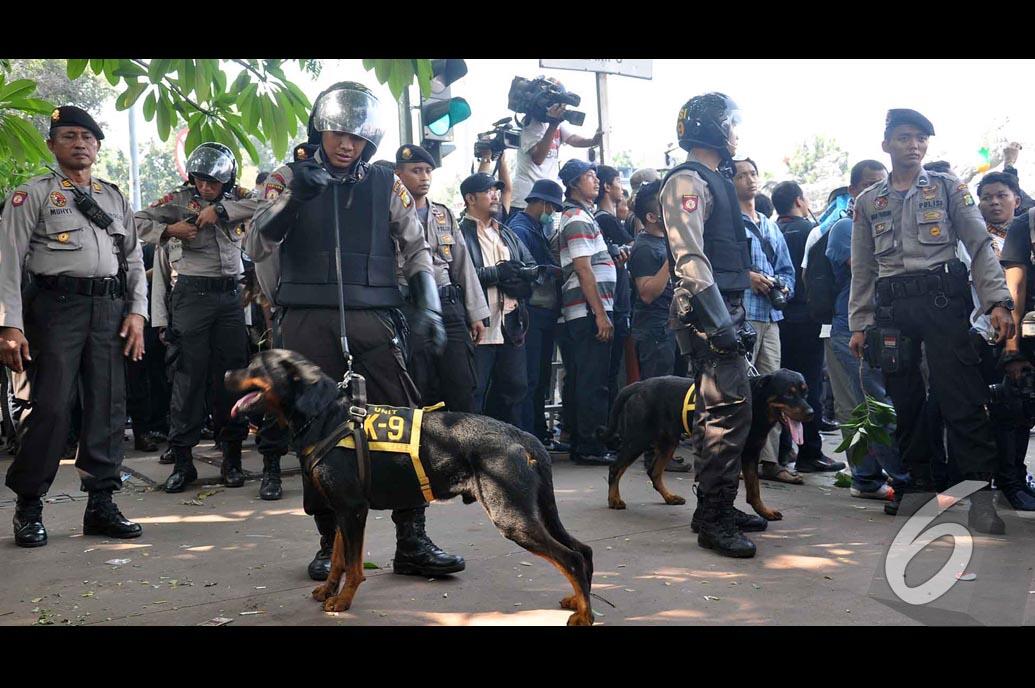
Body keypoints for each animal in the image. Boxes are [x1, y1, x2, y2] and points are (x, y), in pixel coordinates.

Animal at [226, 351, 600, 624]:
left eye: (256, 365)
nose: (226, 374)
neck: (325, 416)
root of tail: (524, 436)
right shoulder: (340, 510)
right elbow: (337, 559)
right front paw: (329, 591)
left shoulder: (353, 509)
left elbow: (354, 565)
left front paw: (343, 600)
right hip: (533, 511)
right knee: (582, 551)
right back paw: (579, 602)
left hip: (512, 515)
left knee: (570, 556)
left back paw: (584, 616)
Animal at [600, 370, 815, 521]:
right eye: (788, 394)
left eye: (805, 392)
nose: (811, 413)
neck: (756, 404)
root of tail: (638, 385)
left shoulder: (751, 453)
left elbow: (754, 488)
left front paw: (764, 511)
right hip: (638, 439)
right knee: (615, 467)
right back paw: (614, 499)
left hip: (668, 441)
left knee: (654, 472)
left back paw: (669, 497)